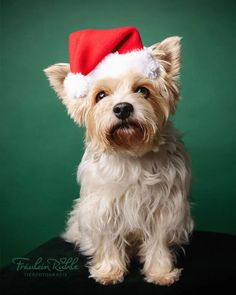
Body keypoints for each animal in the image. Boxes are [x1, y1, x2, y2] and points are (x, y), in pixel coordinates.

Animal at [44, 26, 194, 286]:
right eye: (101, 95)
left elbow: (158, 243)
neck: (131, 152)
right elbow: (108, 241)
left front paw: (161, 272)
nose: (123, 108)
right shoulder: (103, 208)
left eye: (143, 90)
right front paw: (109, 271)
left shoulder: (164, 208)